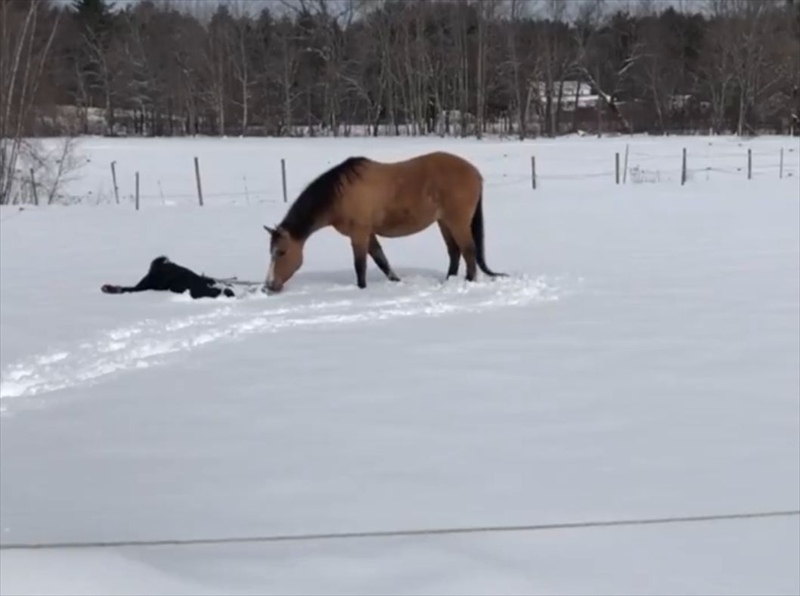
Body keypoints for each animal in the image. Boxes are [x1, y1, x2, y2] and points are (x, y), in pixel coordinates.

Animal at [262, 149, 506, 294]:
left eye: (281, 252)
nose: (269, 286)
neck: (339, 195)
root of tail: (475, 173)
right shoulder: (368, 233)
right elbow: (381, 260)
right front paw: (396, 282)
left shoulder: (359, 233)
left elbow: (360, 265)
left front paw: (362, 289)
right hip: (443, 222)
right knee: (455, 252)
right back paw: (449, 281)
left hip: (457, 221)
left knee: (468, 250)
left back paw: (468, 282)